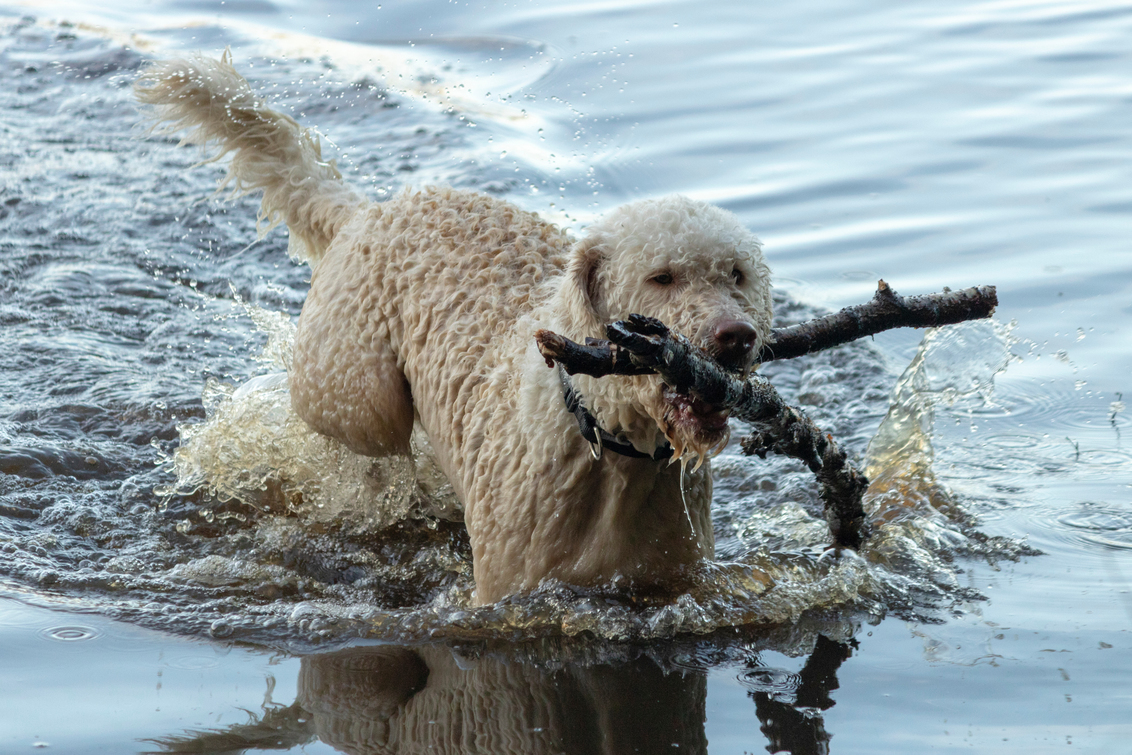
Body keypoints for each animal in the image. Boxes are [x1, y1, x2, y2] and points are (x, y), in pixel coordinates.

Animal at [130, 53, 769, 606]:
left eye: (736, 274)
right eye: (661, 277)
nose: (736, 336)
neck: (612, 451)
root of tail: (369, 211)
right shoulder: (506, 589)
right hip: (358, 399)